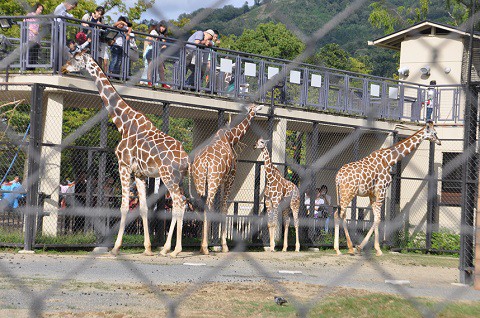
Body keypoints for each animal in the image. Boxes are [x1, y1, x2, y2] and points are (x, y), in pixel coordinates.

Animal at [62, 51, 190, 256]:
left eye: (75, 58)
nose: (64, 68)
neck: (123, 123)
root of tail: (186, 158)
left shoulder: (124, 165)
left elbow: (123, 206)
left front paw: (115, 247)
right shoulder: (139, 173)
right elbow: (144, 208)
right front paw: (147, 248)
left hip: (168, 176)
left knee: (178, 202)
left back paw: (174, 249)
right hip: (178, 178)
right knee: (182, 203)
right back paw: (165, 248)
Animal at [189, 105, 262, 256]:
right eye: (256, 109)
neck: (231, 137)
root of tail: (205, 162)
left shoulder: (220, 180)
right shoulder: (230, 178)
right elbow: (223, 207)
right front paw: (224, 245)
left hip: (199, 181)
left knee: (200, 205)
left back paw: (201, 246)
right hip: (213, 180)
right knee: (208, 204)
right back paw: (205, 247)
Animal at [336, 120, 440, 258]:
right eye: (434, 133)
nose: (439, 142)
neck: (389, 160)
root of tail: (337, 177)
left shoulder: (372, 194)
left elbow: (376, 217)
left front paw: (368, 248)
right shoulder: (382, 189)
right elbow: (379, 219)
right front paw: (372, 249)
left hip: (342, 193)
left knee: (340, 214)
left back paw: (348, 248)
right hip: (348, 192)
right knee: (339, 214)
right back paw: (340, 249)